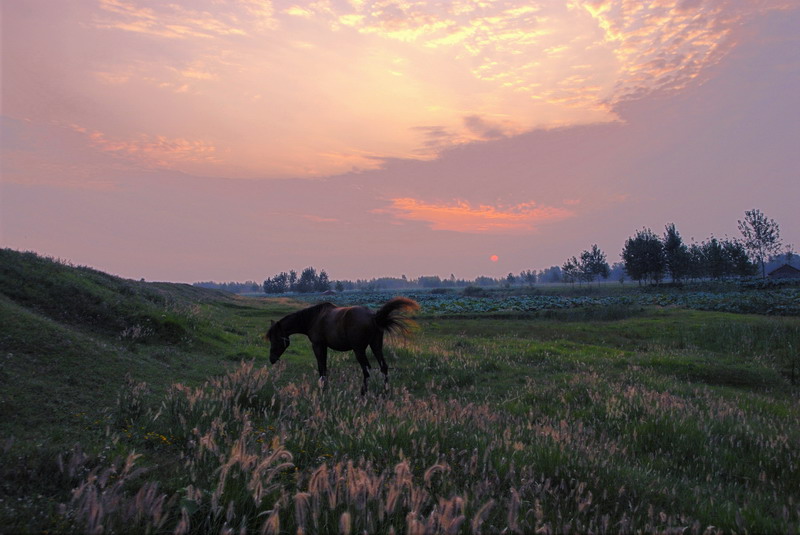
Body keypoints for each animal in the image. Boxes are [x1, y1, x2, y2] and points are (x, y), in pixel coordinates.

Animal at [268, 298, 418, 394]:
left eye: (275, 338)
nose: (271, 359)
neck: (313, 318)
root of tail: (373, 316)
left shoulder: (317, 346)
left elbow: (321, 367)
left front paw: (322, 388)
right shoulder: (324, 346)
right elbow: (325, 367)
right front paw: (325, 387)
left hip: (359, 350)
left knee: (366, 370)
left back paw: (363, 392)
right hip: (376, 346)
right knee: (383, 367)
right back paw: (385, 391)